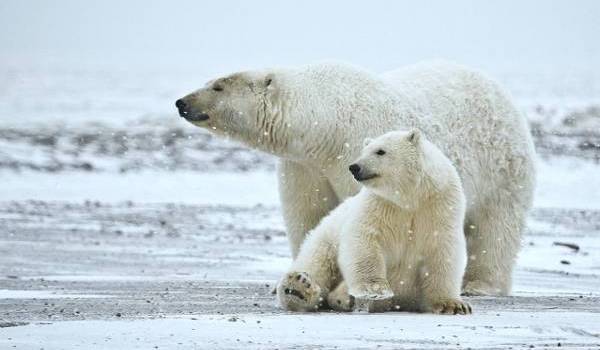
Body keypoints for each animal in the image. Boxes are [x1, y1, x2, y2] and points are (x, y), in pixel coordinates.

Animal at [276, 129, 474, 314]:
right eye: (363, 151)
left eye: (380, 151)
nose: (354, 167)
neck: (410, 197)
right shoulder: (380, 204)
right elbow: (364, 238)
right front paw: (375, 289)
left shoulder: (440, 206)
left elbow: (443, 249)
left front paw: (453, 305)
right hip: (327, 235)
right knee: (318, 260)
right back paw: (298, 287)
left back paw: (341, 296)